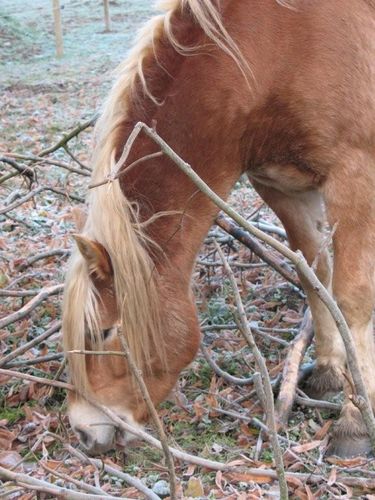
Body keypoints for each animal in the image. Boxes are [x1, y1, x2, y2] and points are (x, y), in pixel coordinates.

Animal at [62, 0, 375, 458]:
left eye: (104, 332)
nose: (83, 431)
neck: (275, 50)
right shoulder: (283, 189)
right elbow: (315, 279)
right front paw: (330, 373)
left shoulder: (354, 179)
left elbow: (352, 300)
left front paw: (356, 422)